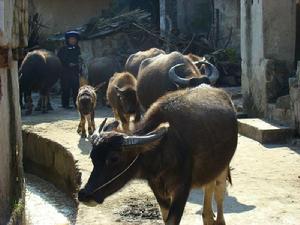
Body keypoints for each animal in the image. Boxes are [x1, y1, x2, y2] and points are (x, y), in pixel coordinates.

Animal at [78, 85, 238, 225]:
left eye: (114, 158)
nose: (84, 195)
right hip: (211, 168)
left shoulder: (181, 190)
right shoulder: (157, 190)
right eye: (92, 157)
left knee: (219, 193)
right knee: (208, 194)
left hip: (224, 167)